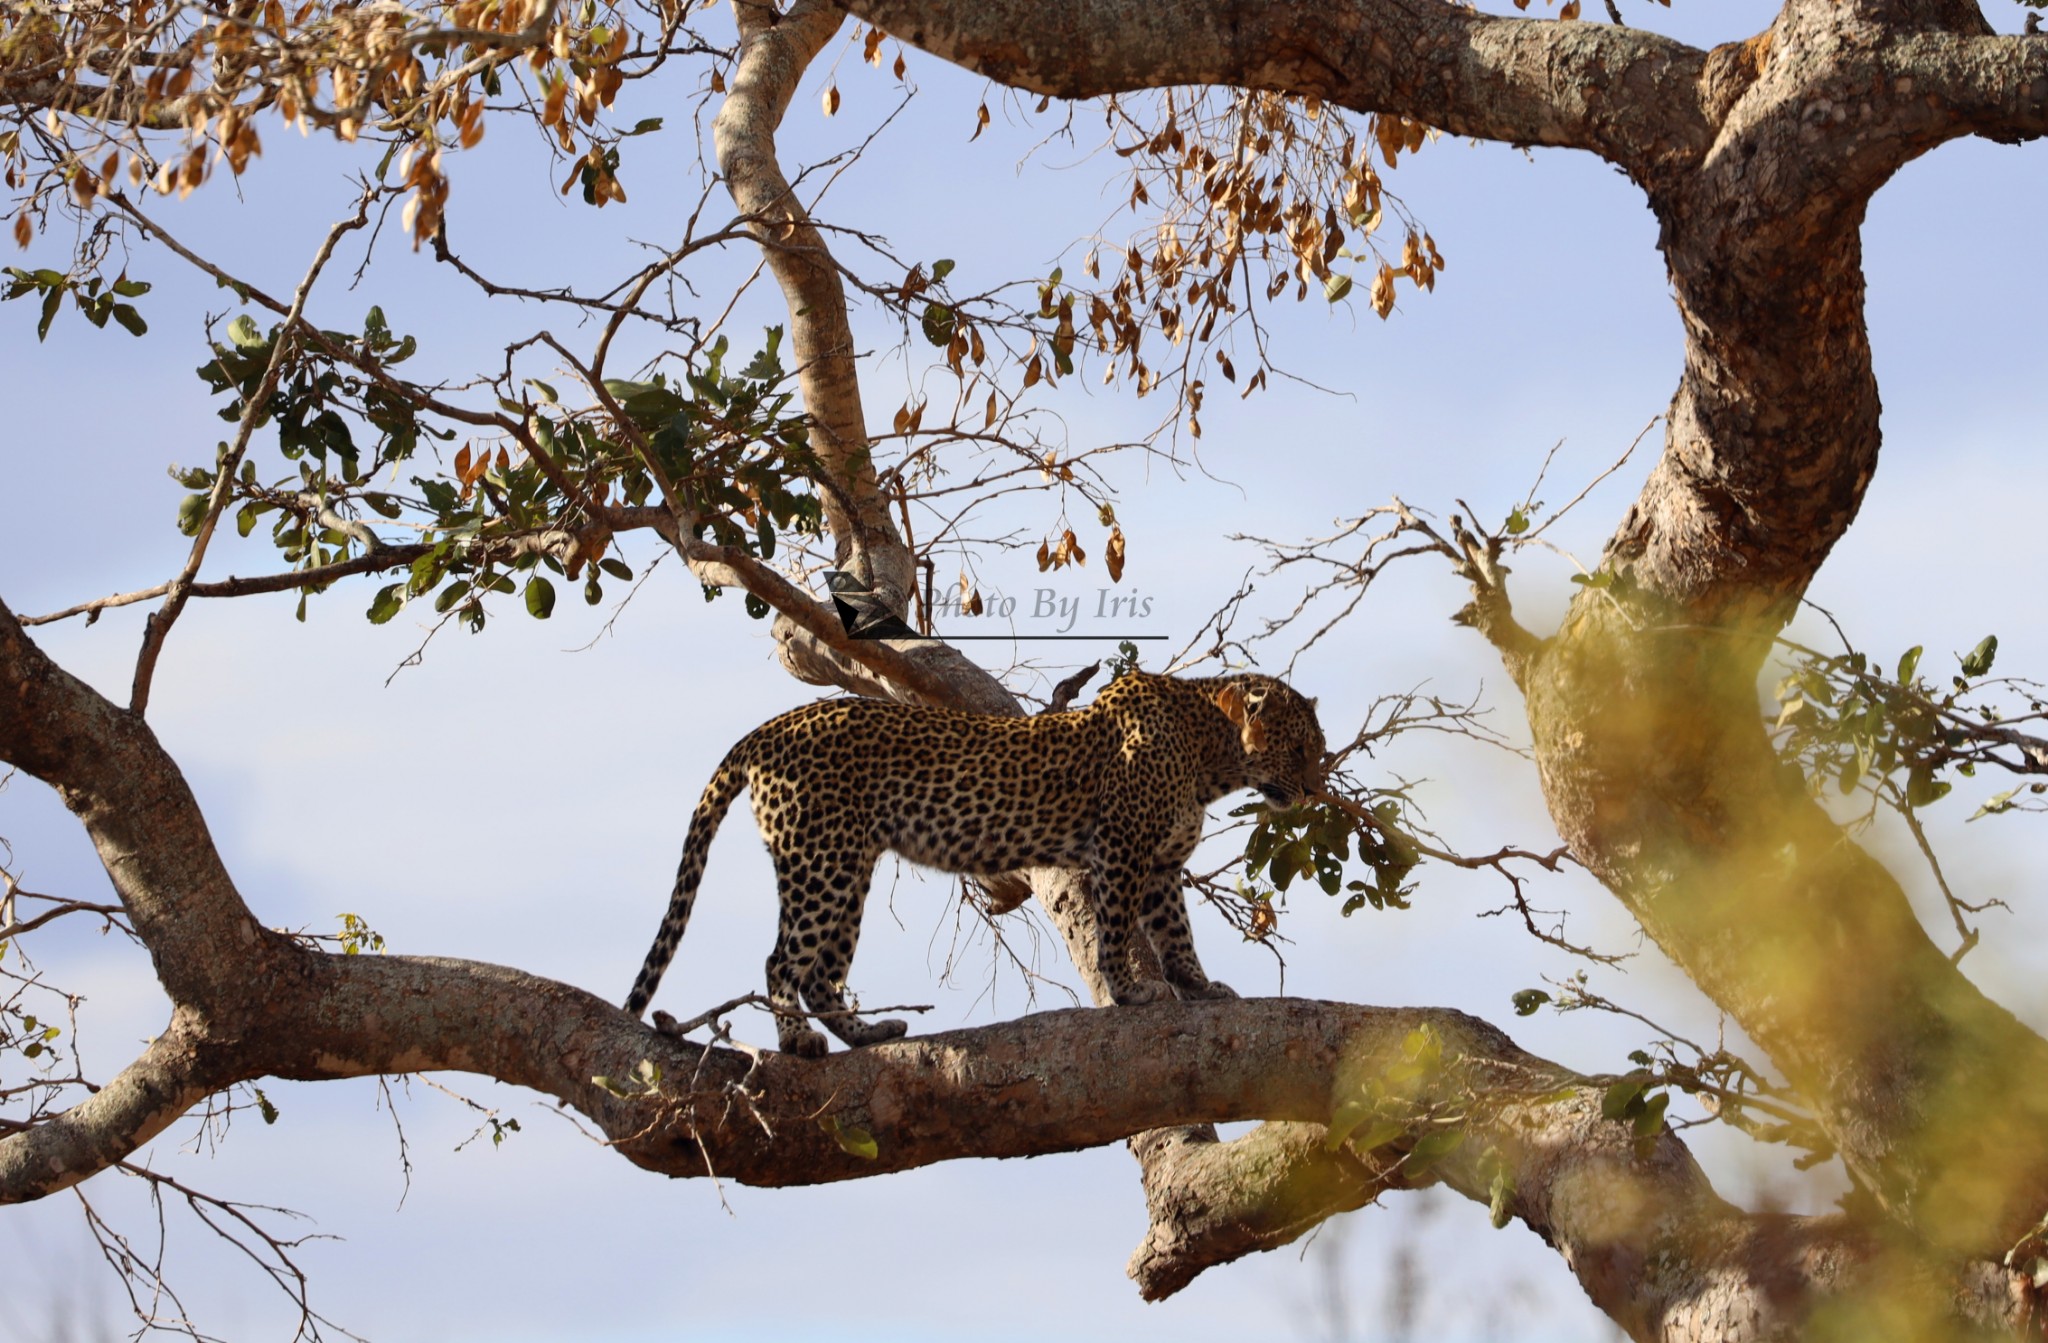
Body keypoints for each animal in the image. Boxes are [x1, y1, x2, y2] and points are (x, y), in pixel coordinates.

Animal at [622, 671, 1327, 1056]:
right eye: (1301, 748)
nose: (1316, 791)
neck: (1211, 756)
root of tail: (768, 729)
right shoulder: (1123, 849)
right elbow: (1116, 933)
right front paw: (1130, 991)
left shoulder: (1159, 865)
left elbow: (1177, 937)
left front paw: (1200, 988)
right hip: (820, 860)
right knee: (781, 962)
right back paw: (797, 1043)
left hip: (850, 867)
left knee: (821, 972)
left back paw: (868, 1034)